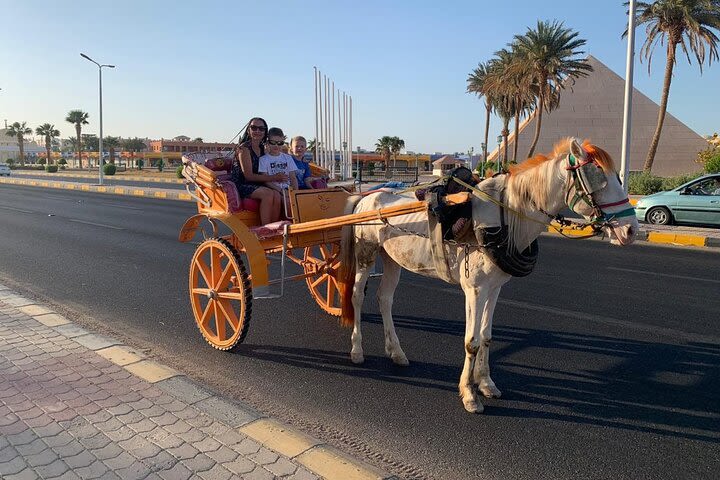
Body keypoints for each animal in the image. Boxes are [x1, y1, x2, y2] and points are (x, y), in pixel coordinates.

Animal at [340, 138, 640, 412]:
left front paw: (485, 384)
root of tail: (364, 197)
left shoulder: (494, 288)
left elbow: (486, 336)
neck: (503, 220)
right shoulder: (474, 290)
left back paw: (397, 352)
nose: (631, 230)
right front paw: (469, 394)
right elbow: (471, 342)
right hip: (366, 254)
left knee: (385, 299)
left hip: (392, 259)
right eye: (598, 177)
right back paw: (356, 350)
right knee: (356, 297)